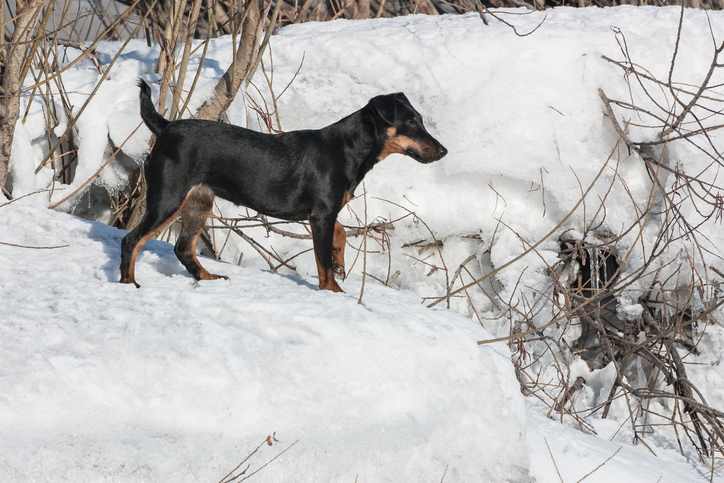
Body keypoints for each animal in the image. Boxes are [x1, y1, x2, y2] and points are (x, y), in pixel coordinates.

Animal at [119, 80, 446, 292]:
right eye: (411, 123)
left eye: (420, 120)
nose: (443, 151)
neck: (348, 148)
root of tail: (165, 127)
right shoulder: (321, 214)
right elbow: (322, 264)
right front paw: (334, 292)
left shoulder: (324, 213)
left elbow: (339, 236)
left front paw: (340, 259)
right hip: (168, 198)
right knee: (132, 240)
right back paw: (128, 284)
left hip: (199, 201)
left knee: (183, 248)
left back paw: (209, 278)